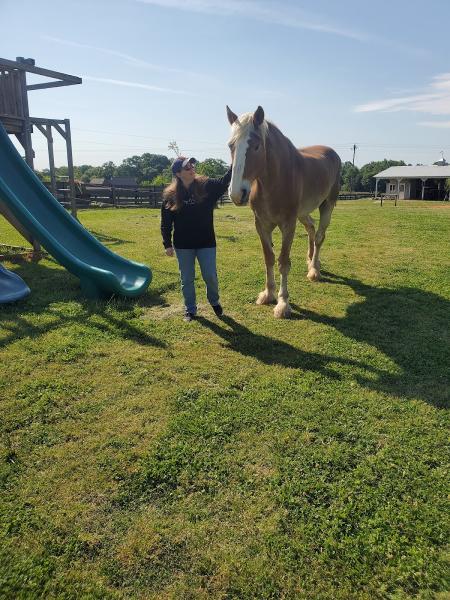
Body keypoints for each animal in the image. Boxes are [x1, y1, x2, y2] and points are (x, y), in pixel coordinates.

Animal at [227, 105, 340, 318]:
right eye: (231, 145)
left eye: (256, 146)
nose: (237, 194)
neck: (275, 180)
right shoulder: (261, 224)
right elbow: (269, 258)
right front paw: (268, 294)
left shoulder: (288, 224)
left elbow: (283, 262)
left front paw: (283, 303)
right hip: (303, 213)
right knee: (311, 228)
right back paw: (310, 261)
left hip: (327, 205)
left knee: (319, 236)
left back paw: (314, 270)